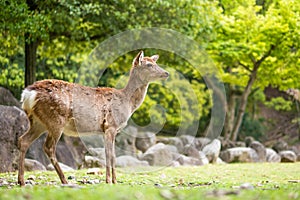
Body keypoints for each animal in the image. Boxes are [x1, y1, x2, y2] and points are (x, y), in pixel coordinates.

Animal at [17, 50, 169, 185]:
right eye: (148, 65)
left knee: (23, 140)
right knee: (48, 147)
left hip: (38, 122)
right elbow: (110, 154)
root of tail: (28, 94)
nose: (166, 73)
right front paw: (110, 181)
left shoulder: (106, 129)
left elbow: (110, 154)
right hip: (55, 119)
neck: (127, 103)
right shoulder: (111, 125)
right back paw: (64, 180)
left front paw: (112, 180)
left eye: (155, 62)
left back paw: (21, 181)